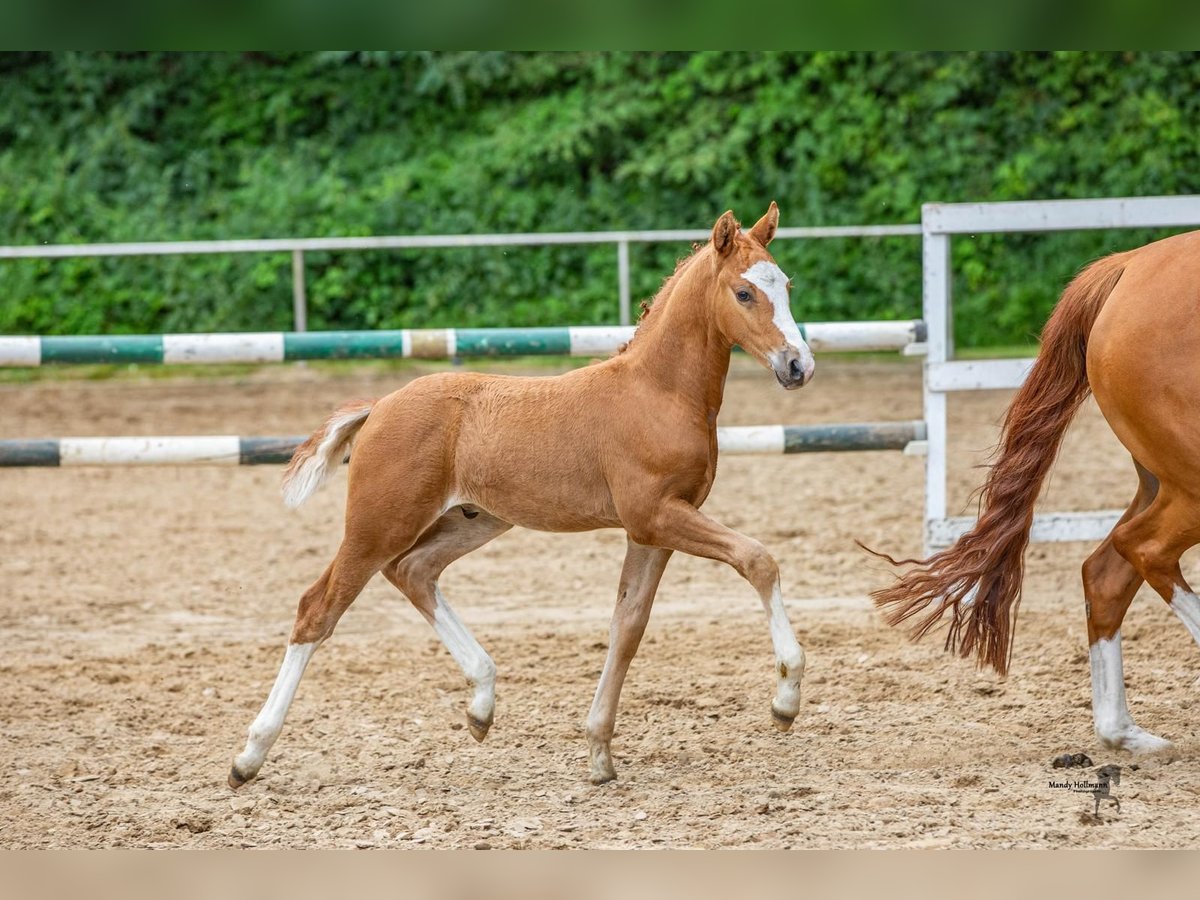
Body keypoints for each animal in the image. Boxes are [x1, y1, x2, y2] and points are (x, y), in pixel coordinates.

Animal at [226, 206, 816, 787]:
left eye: (786, 284)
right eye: (744, 293)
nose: (799, 366)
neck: (657, 392)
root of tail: (380, 405)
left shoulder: (654, 530)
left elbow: (628, 625)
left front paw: (598, 751)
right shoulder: (655, 516)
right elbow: (758, 560)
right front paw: (785, 699)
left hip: (473, 519)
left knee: (413, 571)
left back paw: (481, 704)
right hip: (379, 524)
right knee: (318, 608)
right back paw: (248, 757)